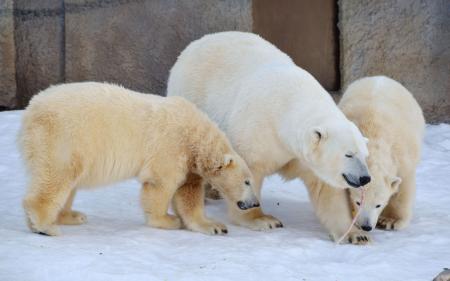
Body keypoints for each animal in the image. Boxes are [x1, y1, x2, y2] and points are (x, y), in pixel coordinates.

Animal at [20, 82, 260, 235]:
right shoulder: (170, 147)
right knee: (57, 177)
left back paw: (70, 216)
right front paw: (167, 220)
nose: (255, 203)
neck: (195, 135)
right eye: (247, 181)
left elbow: (187, 194)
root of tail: (32, 109)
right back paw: (46, 226)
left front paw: (215, 226)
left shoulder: (189, 162)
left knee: (68, 183)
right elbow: (161, 185)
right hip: (64, 137)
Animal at [167, 30, 370, 233]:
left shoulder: (303, 157)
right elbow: (248, 170)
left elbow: (325, 190)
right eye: (349, 154)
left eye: (364, 154)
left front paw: (355, 233)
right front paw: (263, 219)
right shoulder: (258, 131)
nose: (365, 178)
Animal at [342, 75, 426, 231]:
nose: (366, 226)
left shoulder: (403, 156)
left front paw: (390, 220)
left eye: (378, 205)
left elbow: (402, 188)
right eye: (358, 202)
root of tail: (380, 77)